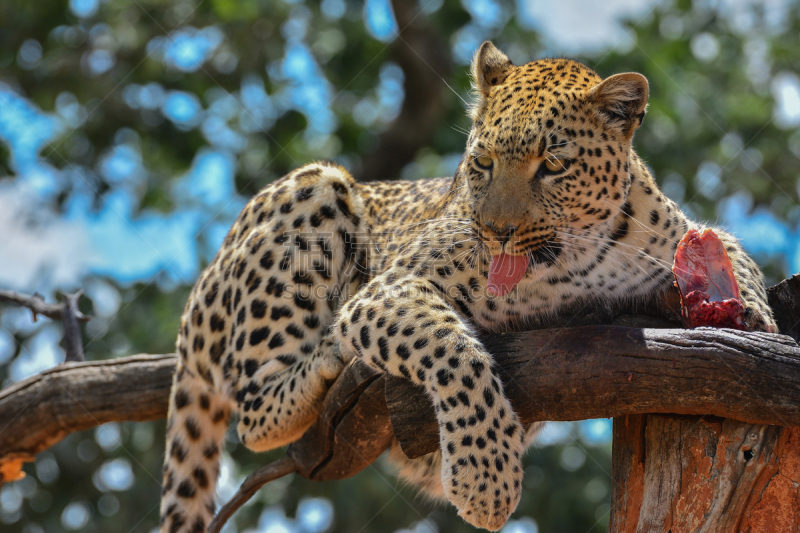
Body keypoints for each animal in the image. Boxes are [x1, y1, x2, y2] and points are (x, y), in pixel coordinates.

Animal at [156, 42, 776, 532]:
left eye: (552, 165)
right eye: (481, 162)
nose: (495, 230)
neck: (570, 264)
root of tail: (194, 305)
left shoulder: (683, 236)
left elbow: (731, 252)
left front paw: (756, 316)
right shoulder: (388, 288)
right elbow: (452, 349)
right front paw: (486, 481)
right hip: (314, 187)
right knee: (254, 409)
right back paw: (328, 359)